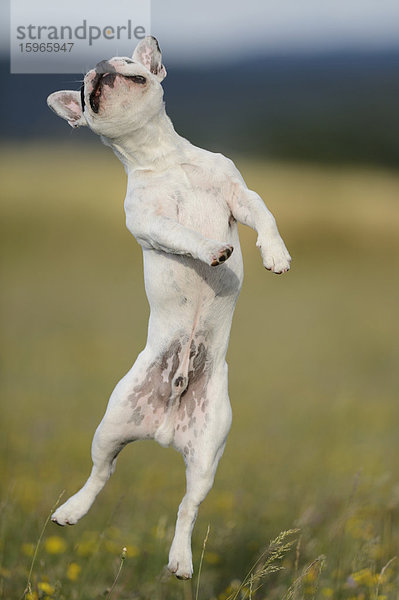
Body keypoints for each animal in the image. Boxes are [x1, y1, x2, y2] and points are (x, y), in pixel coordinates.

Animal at [47, 35, 292, 580]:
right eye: (84, 90)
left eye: (129, 63)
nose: (99, 67)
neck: (160, 158)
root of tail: (163, 430)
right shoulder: (150, 222)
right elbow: (182, 233)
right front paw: (211, 250)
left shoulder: (239, 194)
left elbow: (264, 216)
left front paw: (275, 254)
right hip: (112, 424)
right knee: (101, 473)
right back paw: (71, 510)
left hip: (207, 452)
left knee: (187, 506)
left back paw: (179, 559)